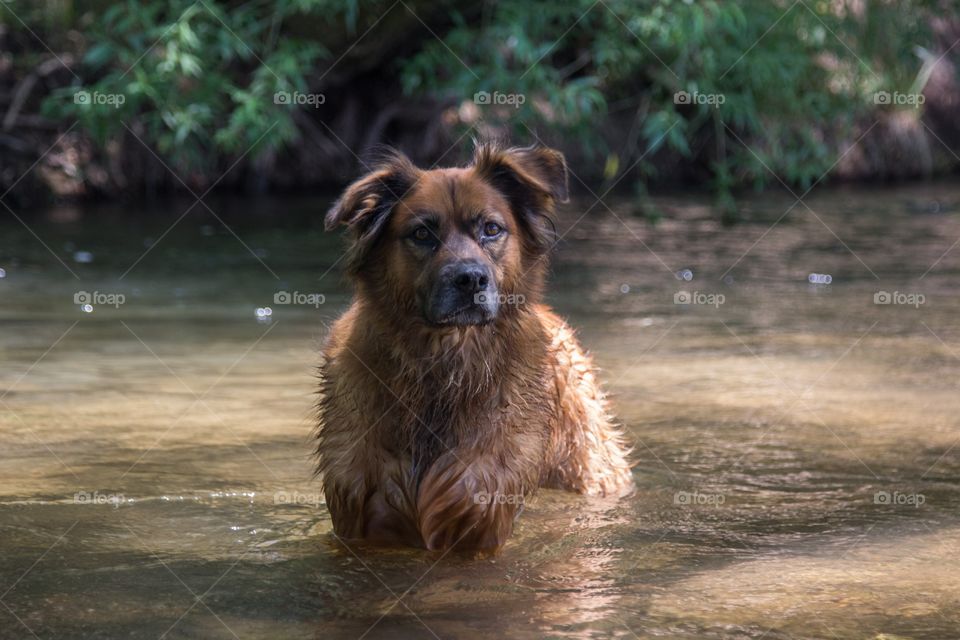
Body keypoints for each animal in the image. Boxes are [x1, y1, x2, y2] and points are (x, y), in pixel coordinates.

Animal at [314, 140, 632, 552]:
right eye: (421, 233)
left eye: (491, 229)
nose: (470, 279)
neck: (443, 363)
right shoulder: (362, 514)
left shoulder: (477, 510)